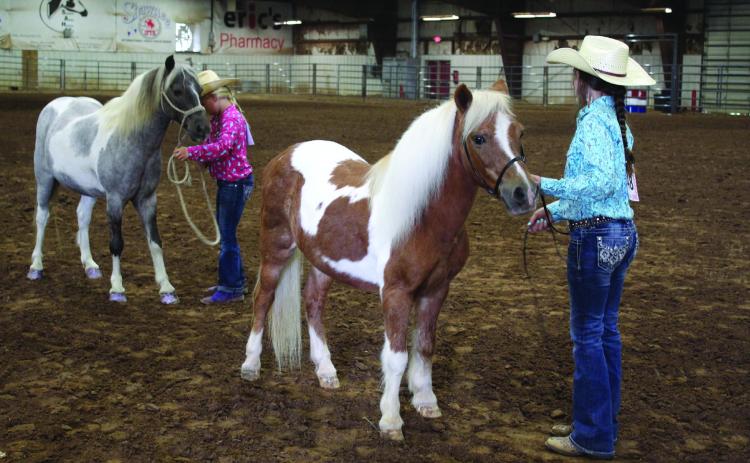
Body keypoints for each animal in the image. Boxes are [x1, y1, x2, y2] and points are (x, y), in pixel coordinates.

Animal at [27, 55, 209, 304]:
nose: (203, 128)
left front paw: (166, 289)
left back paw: (90, 266)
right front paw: (117, 289)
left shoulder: (147, 200)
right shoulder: (115, 200)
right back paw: (36, 267)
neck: (133, 140)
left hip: (88, 190)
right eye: (177, 90)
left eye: (199, 90)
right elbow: (116, 243)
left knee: (82, 216)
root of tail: (55, 106)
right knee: (42, 217)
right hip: (45, 180)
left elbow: (155, 242)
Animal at [239, 80, 537, 440]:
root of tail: (286, 154)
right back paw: (250, 366)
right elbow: (396, 357)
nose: (524, 193)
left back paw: (326, 371)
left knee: (313, 302)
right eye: (478, 138)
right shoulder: (396, 292)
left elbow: (424, 346)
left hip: (324, 260)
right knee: (262, 298)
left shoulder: (436, 290)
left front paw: (426, 401)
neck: (423, 217)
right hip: (276, 247)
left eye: (519, 132)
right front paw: (391, 420)